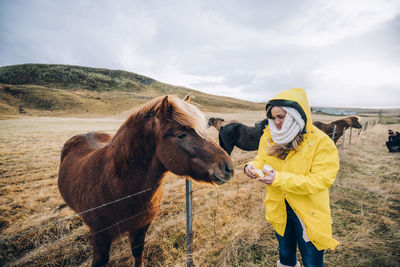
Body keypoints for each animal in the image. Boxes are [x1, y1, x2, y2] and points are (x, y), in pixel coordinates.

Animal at [59, 95, 234, 266]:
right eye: (181, 135)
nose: (228, 168)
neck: (116, 186)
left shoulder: (141, 227)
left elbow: (137, 253)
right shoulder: (100, 238)